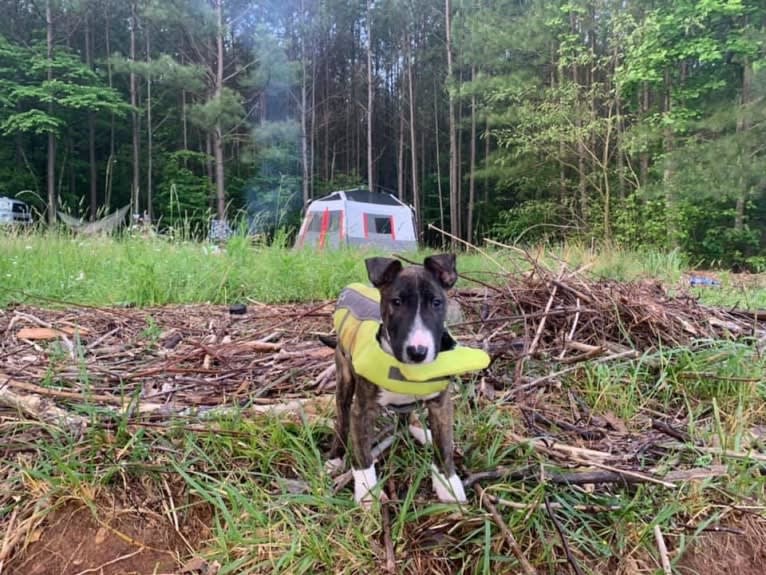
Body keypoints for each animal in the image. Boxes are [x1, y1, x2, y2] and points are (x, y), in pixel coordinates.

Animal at [328, 254, 476, 506]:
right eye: (396, 302)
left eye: (437, 302)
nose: (418, 352)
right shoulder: (362, 410)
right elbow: (363, 456)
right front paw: (367, 494)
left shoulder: (441, 404)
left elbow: (444, 447)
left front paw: (448, 485)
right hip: (344, 379)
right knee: (342, 419)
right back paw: (336, 456)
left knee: (406, 417)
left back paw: (422, 432)